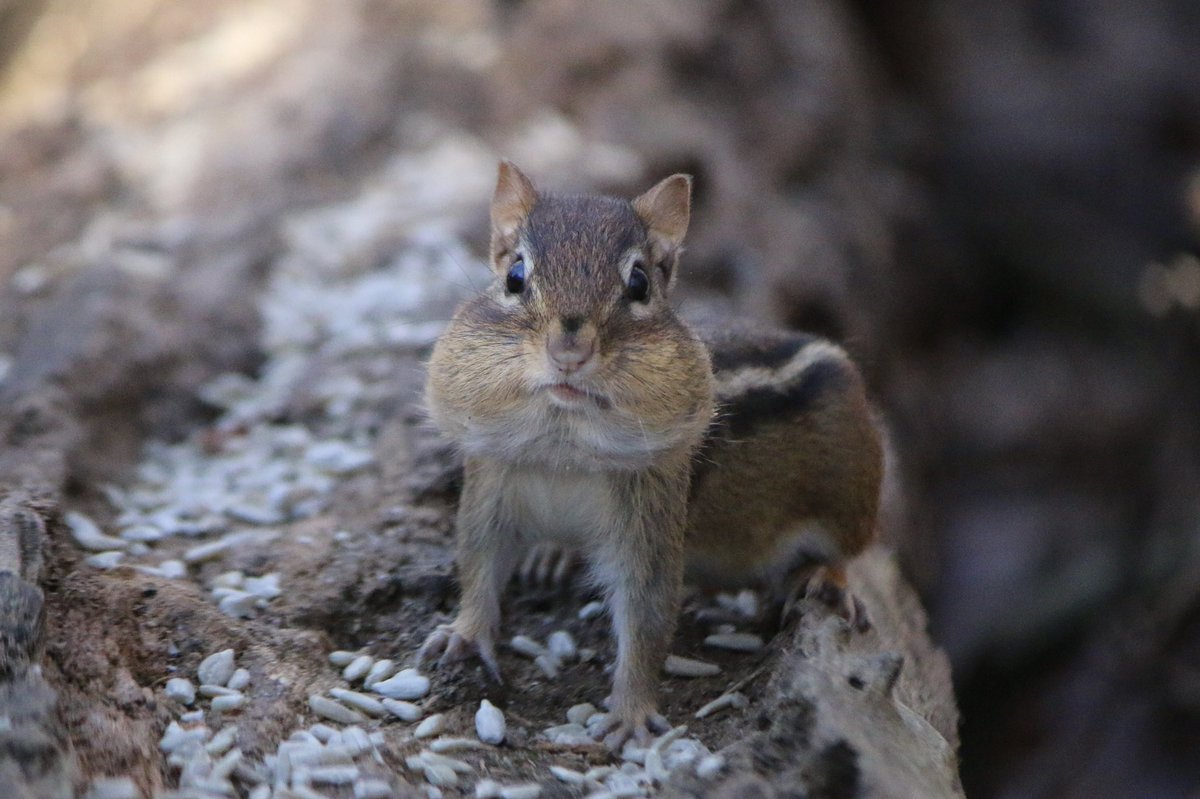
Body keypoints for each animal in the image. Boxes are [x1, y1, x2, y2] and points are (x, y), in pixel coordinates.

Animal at [419, 162, 884, 748]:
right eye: (515, 277)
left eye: (638, 283)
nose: (569, 352)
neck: (563, 446)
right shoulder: (492, 485)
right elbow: (478, 566)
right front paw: (462, 634)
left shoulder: (647, 516)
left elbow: (647, 614)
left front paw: (632, 714)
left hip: (850, 492)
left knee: (846, 551)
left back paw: (827, 582)